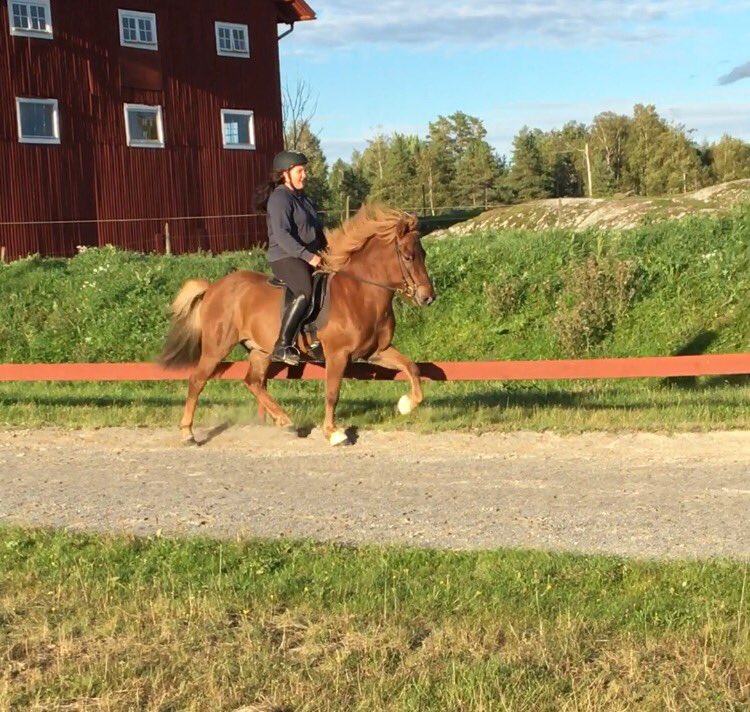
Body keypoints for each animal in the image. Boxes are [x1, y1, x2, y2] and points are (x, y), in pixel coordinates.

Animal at [159, 205, 436, 446]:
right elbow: (332, 393)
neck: (361, 293)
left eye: (423, 254)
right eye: (408, 256)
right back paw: (188, 433)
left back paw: (285, 422)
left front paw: (405, 404)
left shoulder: (377, 352)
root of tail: (213, 287)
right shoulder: (337, 355)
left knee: (253, 382)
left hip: (260, 351)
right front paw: (333, 433)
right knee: (197, 380)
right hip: (217, 347)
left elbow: (412, 368)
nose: (428, 297)